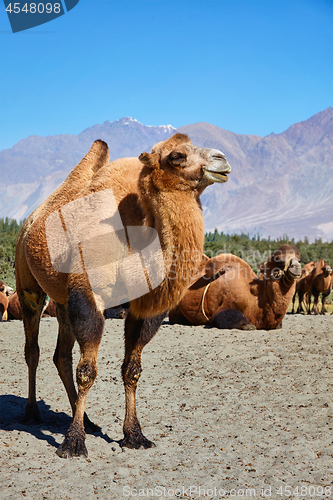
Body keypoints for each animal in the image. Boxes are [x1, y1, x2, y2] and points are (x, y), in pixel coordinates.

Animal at [14, 133, 230, 458]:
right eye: (176, 156)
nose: (222, 159)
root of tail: (30, 220)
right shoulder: (89, 295)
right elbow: (87, 371)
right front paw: (73, 443)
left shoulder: (142, 307)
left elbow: (132, 370)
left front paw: (134, 435)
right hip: (28, 285)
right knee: (33, 350)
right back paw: (31, 413)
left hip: (62, 300)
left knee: (61, 355)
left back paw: (88, 420)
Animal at [169, 244, 300, 330]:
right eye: (280, 261)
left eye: (299, 259)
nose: (296, 267)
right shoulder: (227, 303)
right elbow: (229, 319)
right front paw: (247, 324)